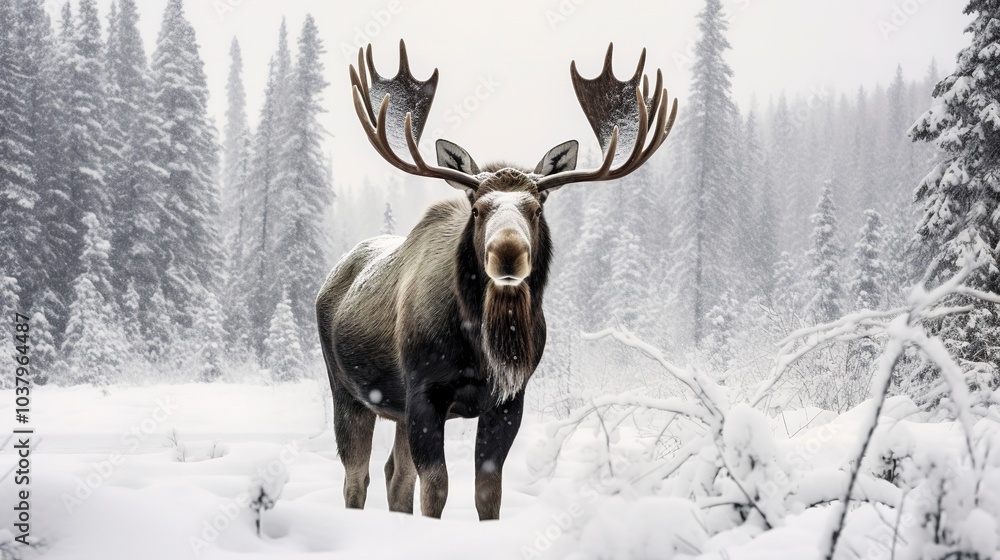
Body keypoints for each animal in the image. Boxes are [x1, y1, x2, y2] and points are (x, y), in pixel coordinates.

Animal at [316, 40, 677, 520]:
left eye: (537, 206)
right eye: (477, 207)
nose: (507, 251)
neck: (481, 345)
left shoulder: (509, 400)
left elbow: (488, 491)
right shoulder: (424, 394)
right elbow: (437, 488)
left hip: (393, 408)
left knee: (396, 474)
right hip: (348, 391)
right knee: (358, 476)